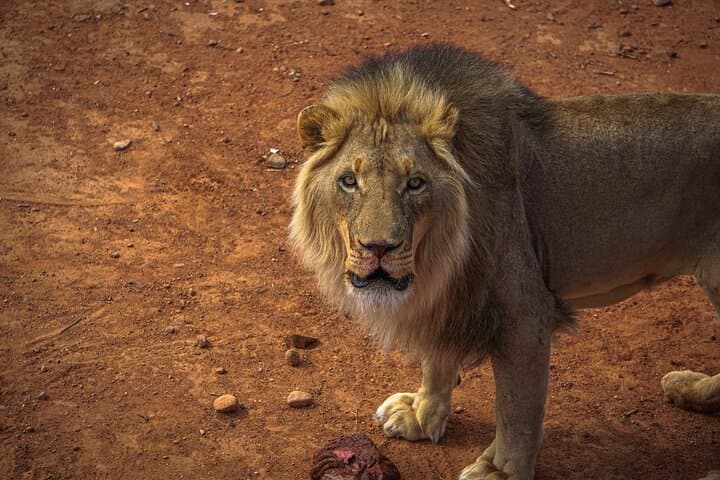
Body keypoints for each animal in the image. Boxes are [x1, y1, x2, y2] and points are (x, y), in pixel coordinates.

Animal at [289, 44, 720, 479]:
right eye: (348, 181)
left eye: (415, 184)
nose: (379, 247)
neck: (441, 257)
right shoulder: (450, 297)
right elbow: (436, 363)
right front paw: (421, 415)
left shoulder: (527, 315)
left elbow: (517, 411)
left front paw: (501, 471)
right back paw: (692, 390)